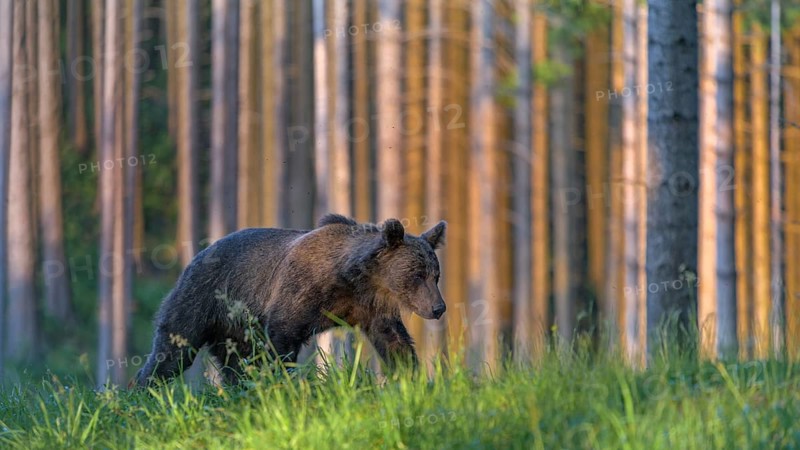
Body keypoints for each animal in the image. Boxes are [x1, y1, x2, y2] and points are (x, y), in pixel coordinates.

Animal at [134, 214, 447, 386]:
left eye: (436, 275)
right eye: (417, 274)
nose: (439, 308)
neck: (353, 280)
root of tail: (197, 255)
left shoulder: (370, 308)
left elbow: (394, 342)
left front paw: (413, 377)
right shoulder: (299, 290)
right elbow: (282, 337)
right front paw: (284, 383)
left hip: (234, 328)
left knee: (235, 364)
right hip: (203, 298)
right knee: (174, 348)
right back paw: (143, 388)